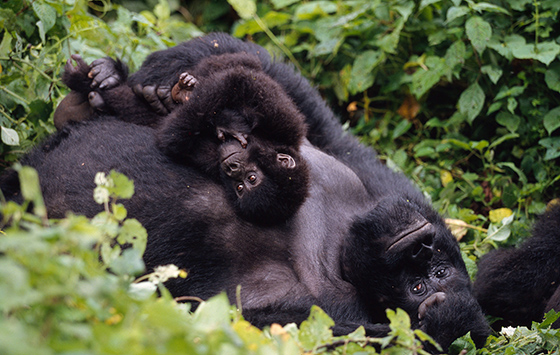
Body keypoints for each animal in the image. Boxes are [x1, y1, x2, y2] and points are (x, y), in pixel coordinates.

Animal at [55, 52, 310, 225]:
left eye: (244, 184)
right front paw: (226, 120)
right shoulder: (286, 125)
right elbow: (242, 75)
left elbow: (172, 136)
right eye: (250, 178)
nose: (231, 167)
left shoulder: (211, 161)